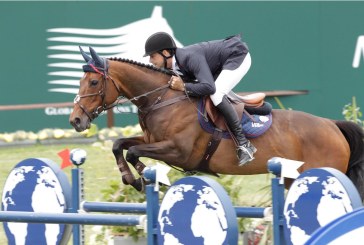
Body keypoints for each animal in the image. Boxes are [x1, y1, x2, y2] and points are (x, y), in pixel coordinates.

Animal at [69, 47, 364, 201]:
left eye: (93, 82)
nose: (76, 120)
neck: (163, 99)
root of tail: (333, 126)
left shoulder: (179, 151)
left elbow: (133, 152)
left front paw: (145, 176)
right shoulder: (154, 141)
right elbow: (120, 145)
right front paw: (131, 178)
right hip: (293, 177)